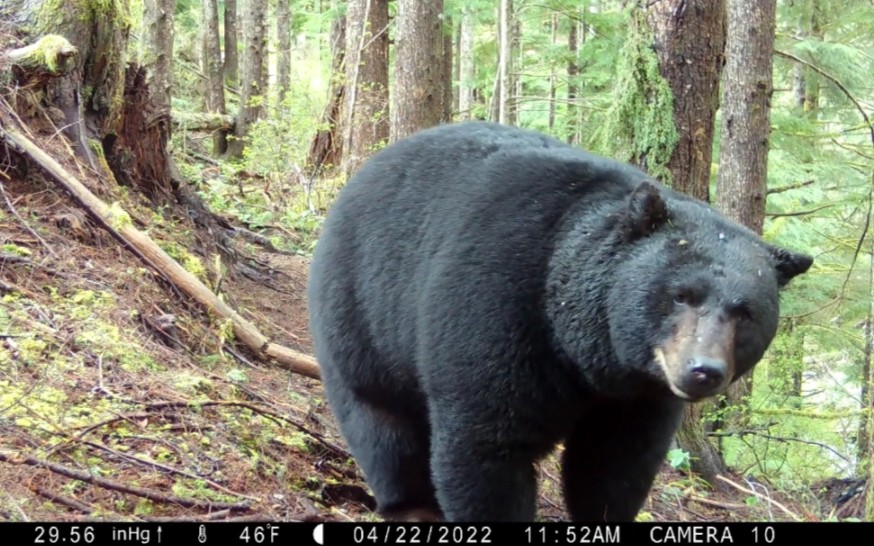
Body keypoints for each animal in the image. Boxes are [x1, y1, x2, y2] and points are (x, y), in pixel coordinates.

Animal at [306, 121, 812, 520]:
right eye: (682, 295)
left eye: (745, 312)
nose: (703, 370)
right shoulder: (497, 304)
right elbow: (486, 442)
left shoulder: (638, 394)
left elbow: (614, 463)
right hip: (360, 306)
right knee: (379, 420)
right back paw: (409, 503)